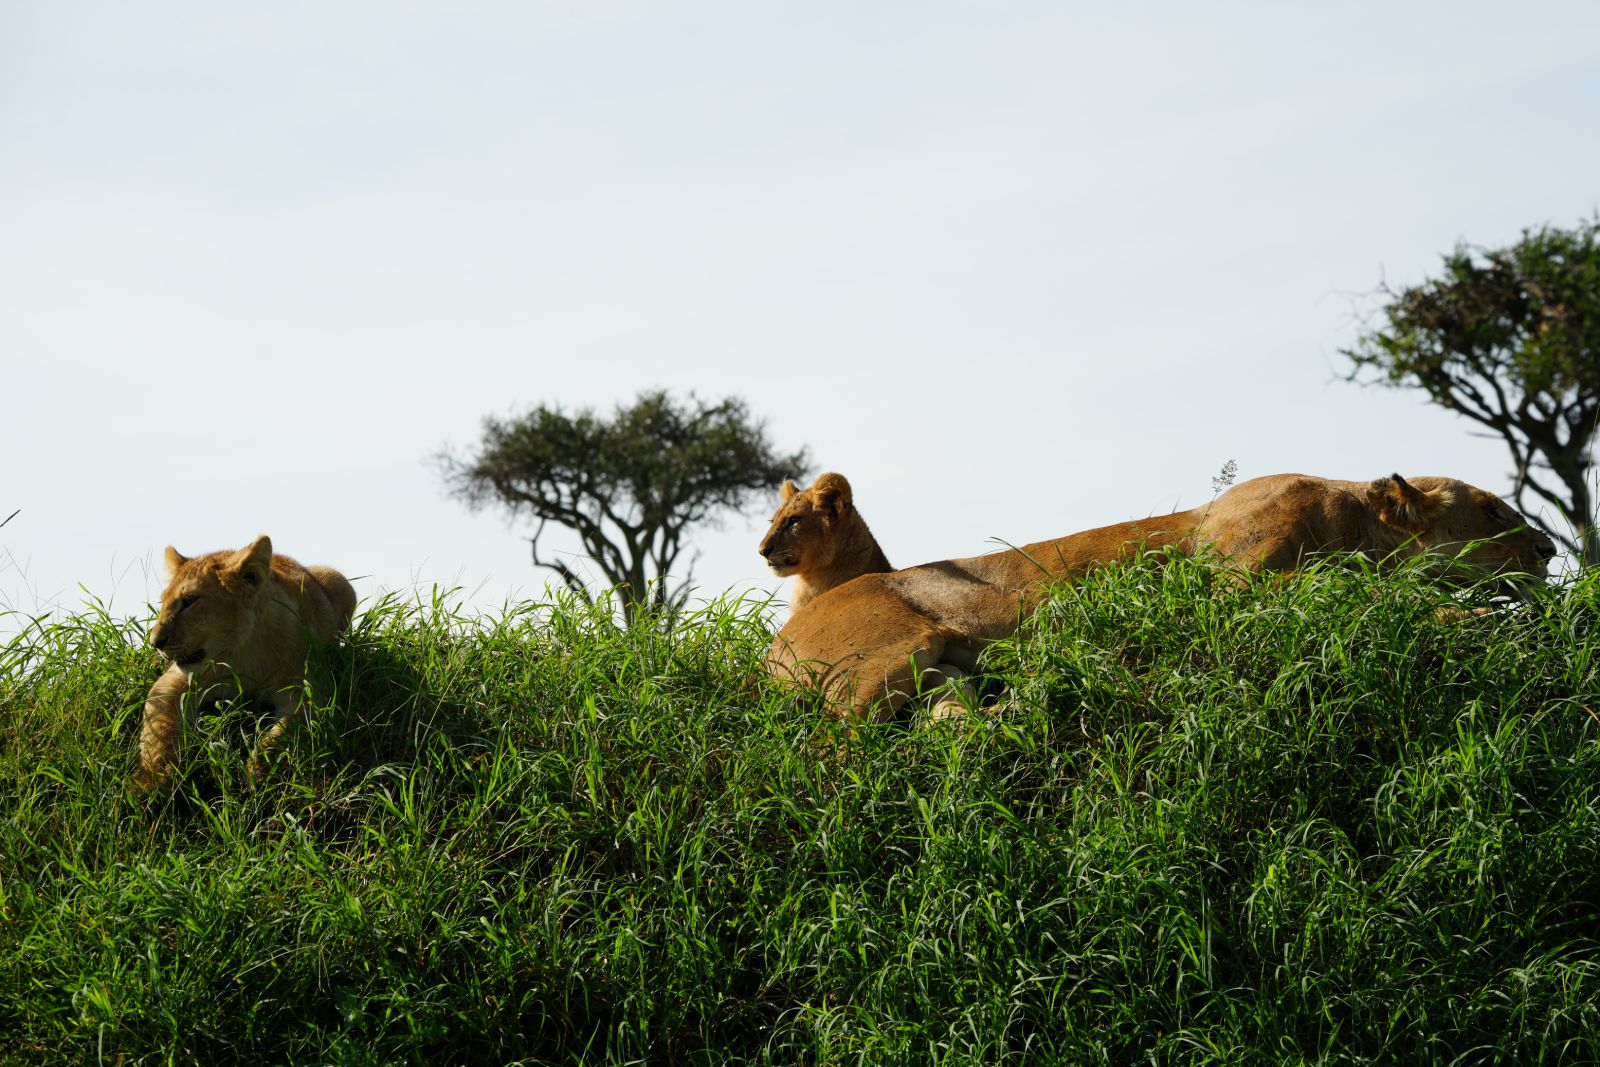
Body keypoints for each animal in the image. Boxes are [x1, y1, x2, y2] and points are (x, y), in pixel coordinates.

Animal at [134, 535, 356, 790]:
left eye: (189, 601)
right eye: (162, 603)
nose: (155, 642)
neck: (242, 653)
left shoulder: (308, 692)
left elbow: (285, 732)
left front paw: (259, 771)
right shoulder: (173, 682)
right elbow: (159, 728)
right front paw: (151, 779)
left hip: (339, 581)